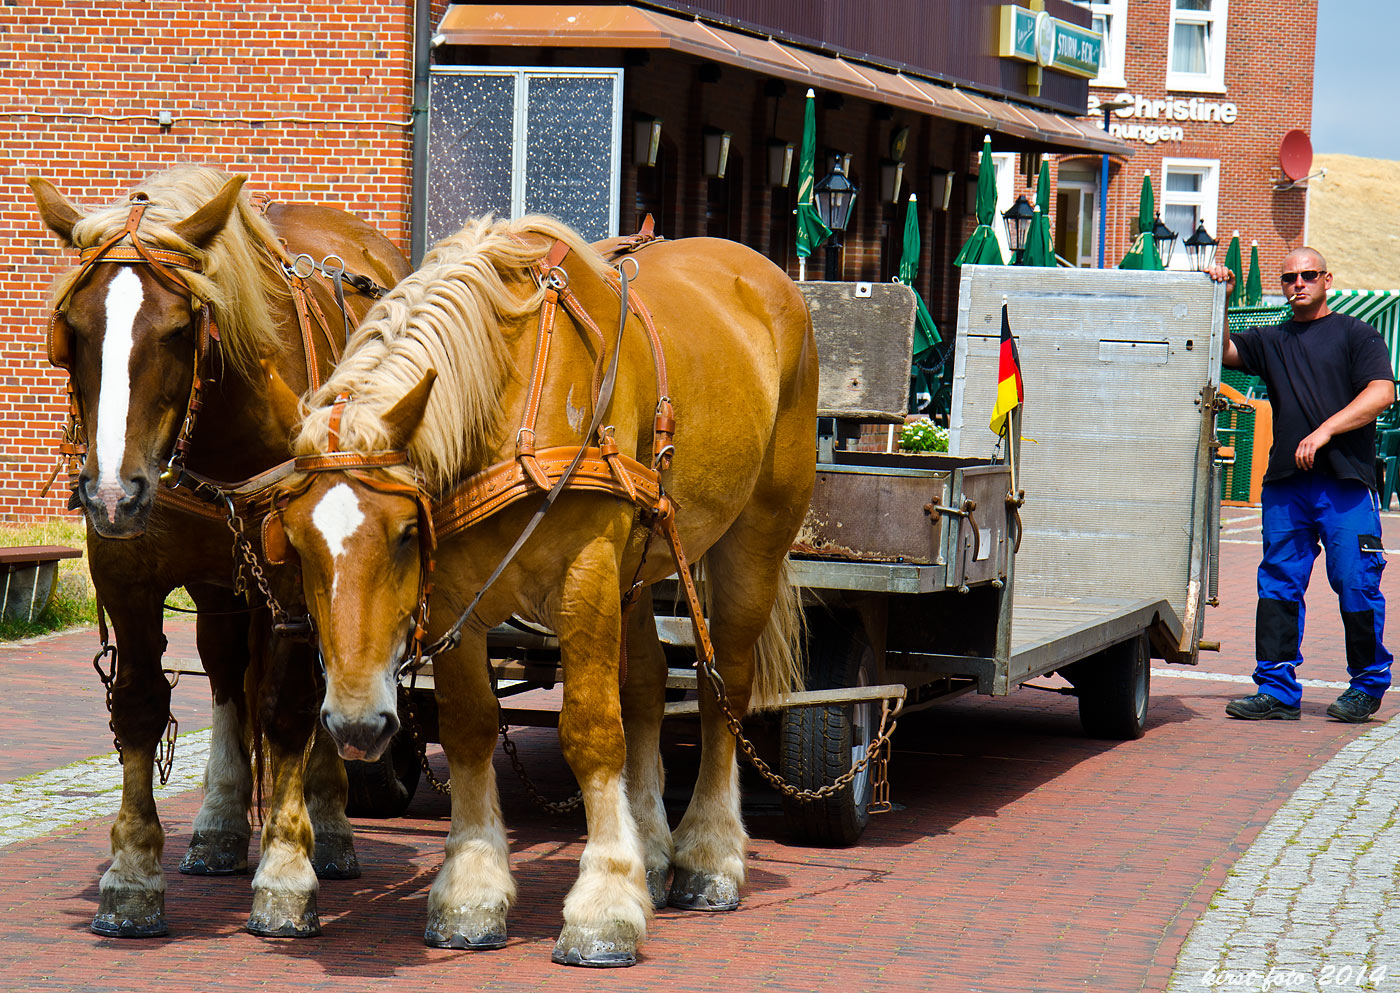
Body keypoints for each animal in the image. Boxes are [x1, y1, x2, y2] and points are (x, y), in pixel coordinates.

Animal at [28, 168, 408, 935]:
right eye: (73, 329)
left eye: (179, 330)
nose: (111, 492)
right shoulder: (126, 573)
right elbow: (140, 705)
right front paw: (132, 873)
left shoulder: (302, 574)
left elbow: (291, 708)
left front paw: (287, 872)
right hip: (221, 583)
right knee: (228, 671)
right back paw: (221, 824)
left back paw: (330, 824)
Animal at [263, 214, 817, 957]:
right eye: (295, 542)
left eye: (407, 533)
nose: (355, 724)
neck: (511, 390)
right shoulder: (457, 596)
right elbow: (470, 728)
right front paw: (471, 889)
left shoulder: (587, 568)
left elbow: (591, 728)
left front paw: (605, 900)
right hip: (636, 569)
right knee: (647, 685)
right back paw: (654, 849)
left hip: (754, 535)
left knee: (721, 681)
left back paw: (710, 856)